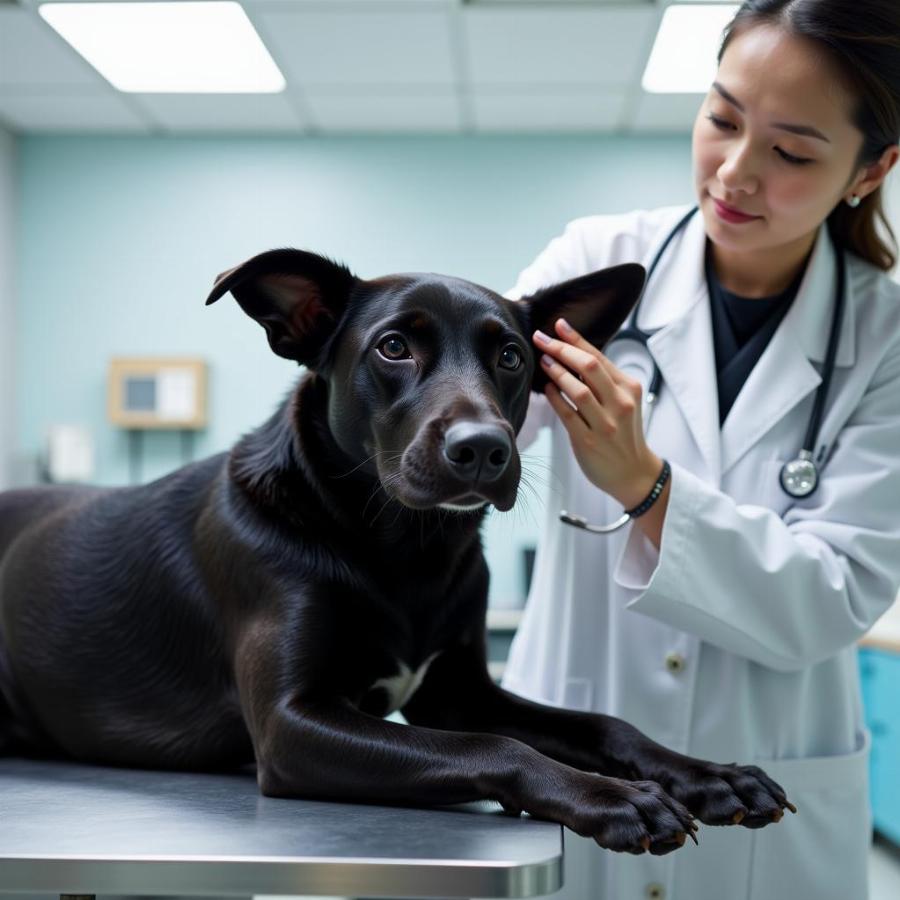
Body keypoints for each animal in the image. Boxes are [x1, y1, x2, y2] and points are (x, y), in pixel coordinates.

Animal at [0, 250, 796, 856]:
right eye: (393, 347)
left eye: (511, 356)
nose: (483, 450)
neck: (403, 548)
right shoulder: (292, 725)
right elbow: (492, 747)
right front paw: (613, 797)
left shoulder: (461, 692)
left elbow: (604, 724)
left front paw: (704, 774)